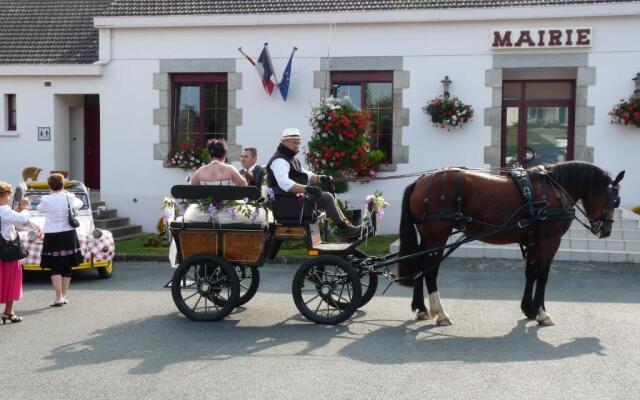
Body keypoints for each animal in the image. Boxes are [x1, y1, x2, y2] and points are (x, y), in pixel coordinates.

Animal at [398, 161, 624, 326]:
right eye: (614, 200)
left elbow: (531, 273)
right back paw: (441, 313)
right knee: (430, 272)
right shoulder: (550, 240)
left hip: (429, 239)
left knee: (419, 266)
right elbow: (543, 275)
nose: (606, 230)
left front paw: (528, 309)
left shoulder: (534, 241)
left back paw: (421, 309)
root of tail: (421, 180)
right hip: (437, 238)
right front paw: (542, 313)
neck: (554, 190)